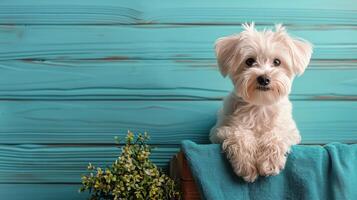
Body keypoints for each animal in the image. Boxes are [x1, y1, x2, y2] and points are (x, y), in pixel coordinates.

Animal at [209, 22, 312, 182]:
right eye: (250, 61)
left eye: (277, 62)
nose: (264, 78)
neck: (260, 106)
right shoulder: (219, 131)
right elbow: (239, 134)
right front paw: (246, 164)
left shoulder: (290, 131)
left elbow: (275, 135)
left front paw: (269, 163)